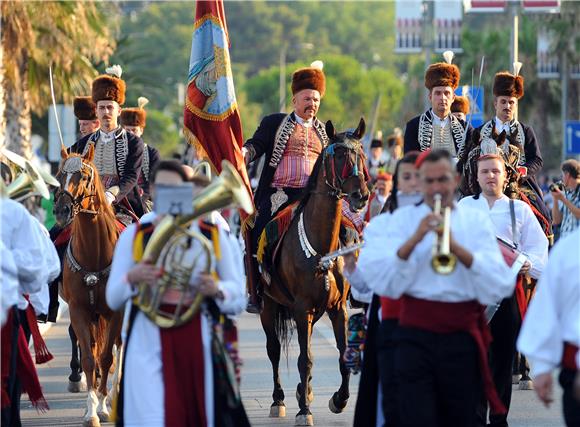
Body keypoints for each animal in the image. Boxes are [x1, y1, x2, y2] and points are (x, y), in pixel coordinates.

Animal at [53, 147, 123, 427]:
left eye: (83, 176)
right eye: (60, 175)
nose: (61, 211)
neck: (95, 252)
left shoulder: (114, 312)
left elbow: (106, 357)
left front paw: (103, 406)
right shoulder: (79, 310)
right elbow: (90, 357)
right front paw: (91, 410)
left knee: (117, 346)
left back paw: (114, 394)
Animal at [260, 118, 370, 426]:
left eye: (362, 154)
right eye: (340, 155)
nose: (361, 196)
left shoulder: (337, 307)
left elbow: (342, 355)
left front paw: (339, 400)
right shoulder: (301, 308)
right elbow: (304, 358)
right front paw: (304, 411)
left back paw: (304, 390)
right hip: (268, 305)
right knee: (274, 350)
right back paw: (279, 399)